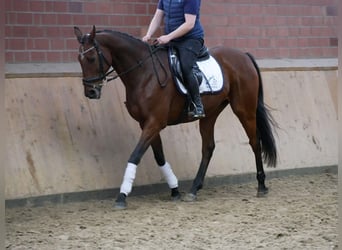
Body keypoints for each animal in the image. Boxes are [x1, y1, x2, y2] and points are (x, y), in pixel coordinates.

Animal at [73, 25, 276, 209]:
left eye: (91, 58)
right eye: (79, 59)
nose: (91, 92)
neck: (144, 72)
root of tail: (244, 55)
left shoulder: (154, 123)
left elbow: (135, 155)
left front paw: (122, 196)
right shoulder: (146, 124)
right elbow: (159, 157)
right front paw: (175, 190)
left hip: (244, 109)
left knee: (254, 142)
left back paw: (261, 185)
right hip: (210, 114)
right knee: (208, 148)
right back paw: (193, 190)